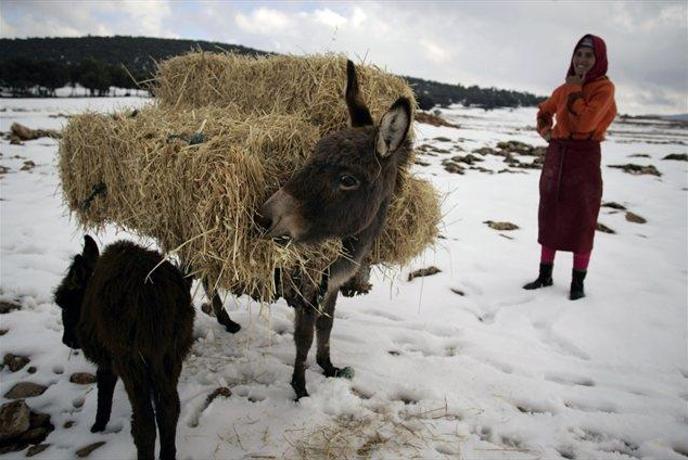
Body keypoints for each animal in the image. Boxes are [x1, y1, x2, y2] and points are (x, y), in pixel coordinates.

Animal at [54, 237, 195, 460]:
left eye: (65, 303)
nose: (67, 341)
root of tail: (155, 296)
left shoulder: (108, 355)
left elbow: (104, 386)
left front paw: (98, 425)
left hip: (132, 360)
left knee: (144, 421)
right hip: (171, 356)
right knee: (170, 408)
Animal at [256, 60, 408, 398]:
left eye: (348, 179)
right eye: (312, 155)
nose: (263, 218)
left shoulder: (333, 285)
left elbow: (326, 326)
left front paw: (328, 367)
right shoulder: (307, 288)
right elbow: (304, 337)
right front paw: (300, 389)